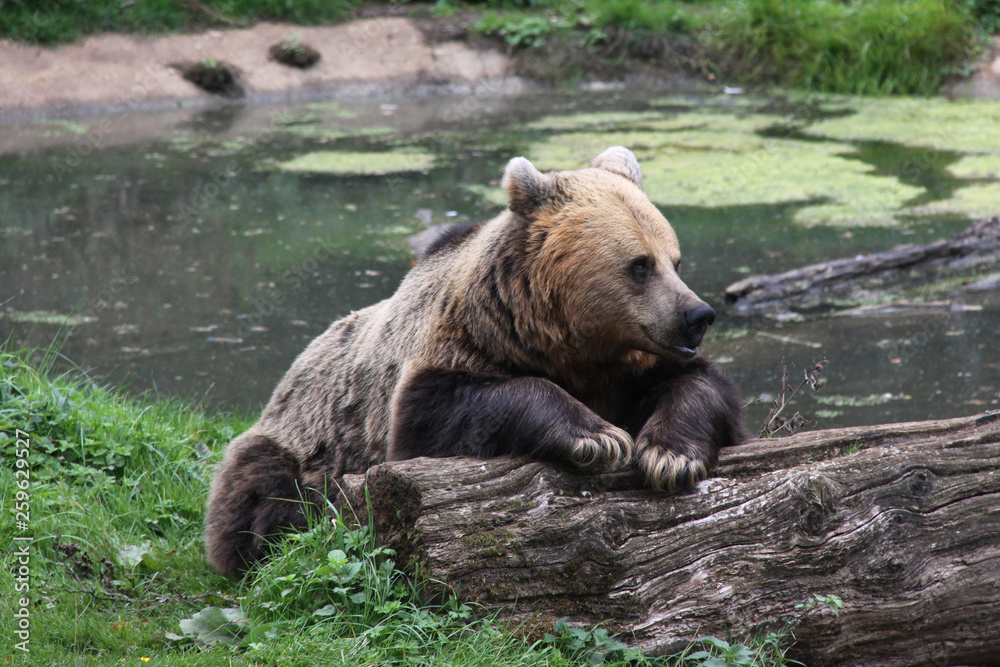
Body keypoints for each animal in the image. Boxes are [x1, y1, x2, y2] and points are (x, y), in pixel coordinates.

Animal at [205, 146, 743, 577]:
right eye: (639, 265)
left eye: (674, 260)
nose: (698, 315)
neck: (569, 343)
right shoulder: (464, 344)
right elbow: (439, 414)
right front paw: (598, 436)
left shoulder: (633, 368)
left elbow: (701, 384)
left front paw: (670, 453)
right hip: (303, 438)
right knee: (263, 491)